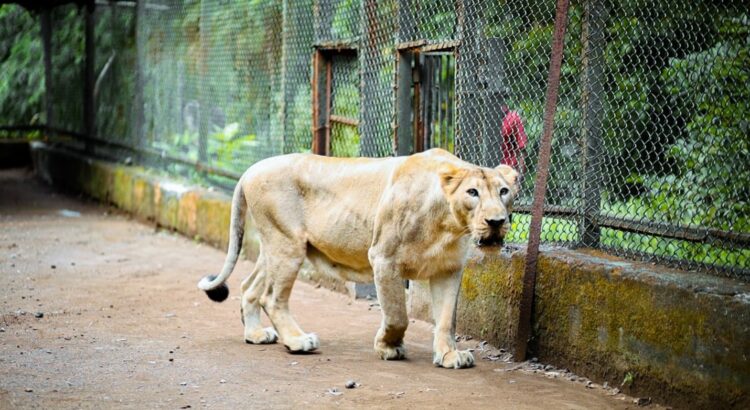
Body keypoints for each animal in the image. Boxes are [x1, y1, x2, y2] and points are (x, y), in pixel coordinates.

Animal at [197, 148, 520, 368]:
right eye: (472, 192)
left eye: (504, 191)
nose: (496, 221)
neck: (447, 225)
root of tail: (250, 169)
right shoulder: (384, 258)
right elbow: (397, 314)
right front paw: (388, 347)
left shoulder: (448, 269)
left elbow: (444, 319)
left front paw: (450, 355)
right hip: (286, 244)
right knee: (271, 297)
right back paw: (298, 341)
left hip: (275, 246)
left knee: (249, 287)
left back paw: (255, 334)